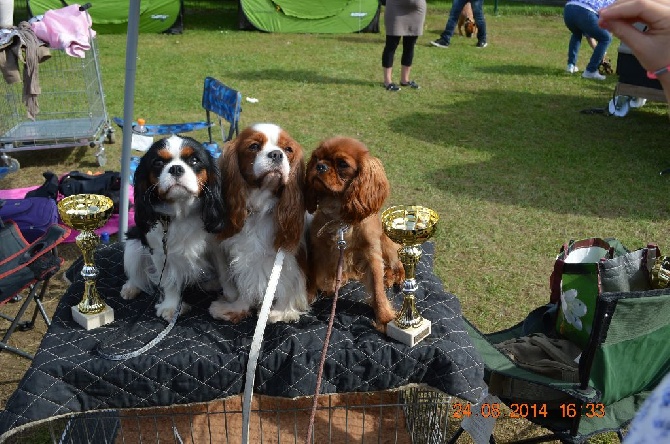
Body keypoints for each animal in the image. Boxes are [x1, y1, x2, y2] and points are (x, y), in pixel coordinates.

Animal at [210, 123, 310, 324]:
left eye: (288, 150)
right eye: (254, 146)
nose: (277, 154)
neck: (260, 209)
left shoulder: (289, 258)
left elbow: (289, 282)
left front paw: (282, 311)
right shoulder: (246, 257)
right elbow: (245, 283)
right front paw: (236, 308)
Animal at [304, 137, 404, 332]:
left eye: (342, 164)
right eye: (316, 158)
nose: (320, 166)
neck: (339, 215)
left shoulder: (372, 254)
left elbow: (377, 288)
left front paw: (384, 317)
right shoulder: (318, 248)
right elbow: (313, 273)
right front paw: (309, 296)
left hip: (387, 243)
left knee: (398, 264)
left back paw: (393, 277)